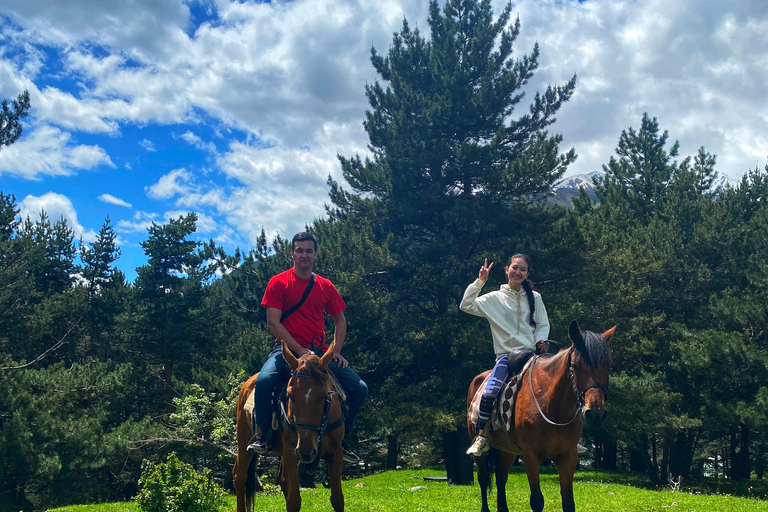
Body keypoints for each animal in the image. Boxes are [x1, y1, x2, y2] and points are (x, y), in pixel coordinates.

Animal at [231, 342, 344, 512]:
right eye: (290, 395)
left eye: (324, 395)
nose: (306, 451)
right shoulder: (291, 452)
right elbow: (294, 501)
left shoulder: (336, 453)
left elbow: (337, 498)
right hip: (244, 444)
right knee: (239, 476)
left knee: (282, 479)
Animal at [464, 320, 616, 512]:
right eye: (575, 365)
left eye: (608, 366)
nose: (595, 411)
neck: (553, 407)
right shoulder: (531, 456)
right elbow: (537, 500)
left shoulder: (568, 457)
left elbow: (568, 502)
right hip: (481, 450)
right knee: (484, 478)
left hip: (509, 450)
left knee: (500, 475)